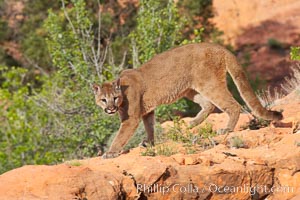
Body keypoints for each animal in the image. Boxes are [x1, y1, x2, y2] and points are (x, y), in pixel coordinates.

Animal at [92, 43, 282, 159]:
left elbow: (120, 136)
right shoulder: (147, 110)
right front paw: (149, 143)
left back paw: (226, 129)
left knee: (232, 105)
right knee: (209, 105)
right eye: (103, 100)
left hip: (209, 83)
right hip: (191, 89)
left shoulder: (130, 119)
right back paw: (192, 124)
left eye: (114, 98)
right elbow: (150, 126)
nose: (110, 108)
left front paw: (110, 153)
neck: (123, 93)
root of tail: (218, 46)